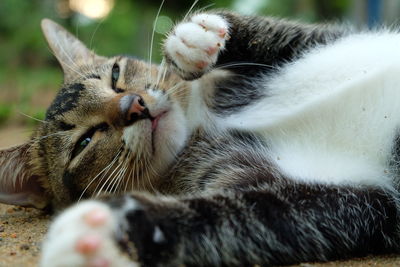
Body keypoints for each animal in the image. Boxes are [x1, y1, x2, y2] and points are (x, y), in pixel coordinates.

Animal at [0, 9, 400, 266]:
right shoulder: (350, 203)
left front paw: (193, 37)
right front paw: (116, 236)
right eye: (83, 144)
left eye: (114, 75)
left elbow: (288, 33)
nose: (133, 106)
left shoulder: (326, 39)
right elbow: (243, 216)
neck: (202, 122)